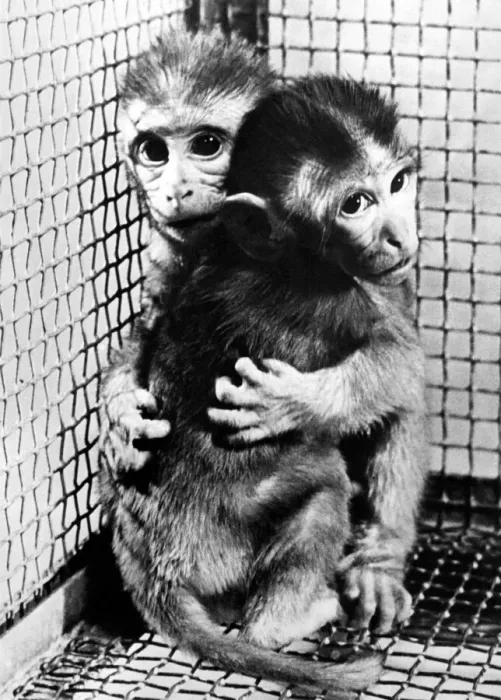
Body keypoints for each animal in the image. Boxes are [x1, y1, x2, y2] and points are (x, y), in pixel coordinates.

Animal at [97, 76, 421, 696]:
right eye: (354, 204)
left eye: (397, 183)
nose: (399, 236)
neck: (291, 257)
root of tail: (151, 572)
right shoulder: (351, 297)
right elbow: (400, 367)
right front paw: (291, 403)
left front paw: (380, 562)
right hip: (222, 547)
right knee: (324, 488)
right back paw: (286, 621)